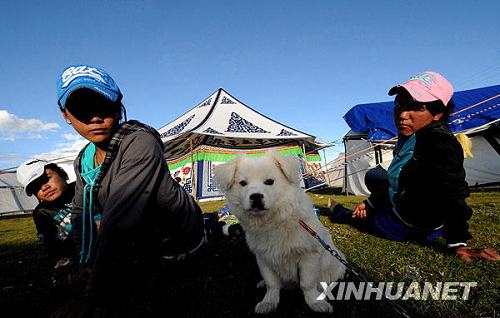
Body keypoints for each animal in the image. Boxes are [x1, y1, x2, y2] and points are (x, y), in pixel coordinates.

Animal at [215, 151, 348, 314]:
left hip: (338, 263)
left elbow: (307, 283)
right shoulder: (263, 258)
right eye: (243, 183)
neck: (273, 221)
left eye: (269, 182)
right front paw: (268, 302)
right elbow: (272, 284)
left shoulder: (309, 256)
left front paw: (315, 303)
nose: (256, 196)